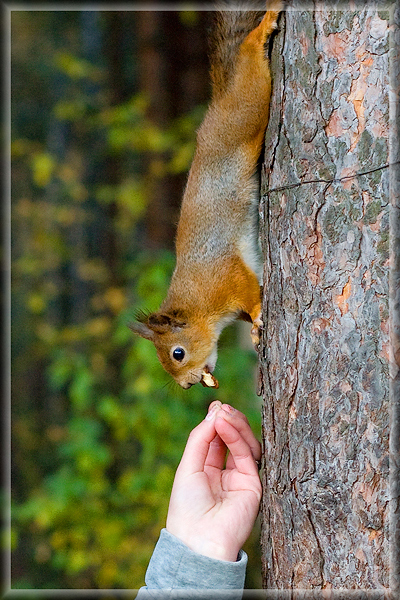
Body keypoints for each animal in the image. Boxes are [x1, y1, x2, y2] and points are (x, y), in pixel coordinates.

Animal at [130, 1, 282, 390]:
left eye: (177, 353)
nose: (188, 384)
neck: (198, 305)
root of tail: (219, 101)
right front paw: (254, 329)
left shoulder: (225, 276)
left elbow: (249, 290)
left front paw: (259, 315)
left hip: (246, 111)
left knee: (249, 63)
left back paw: (264, 26)